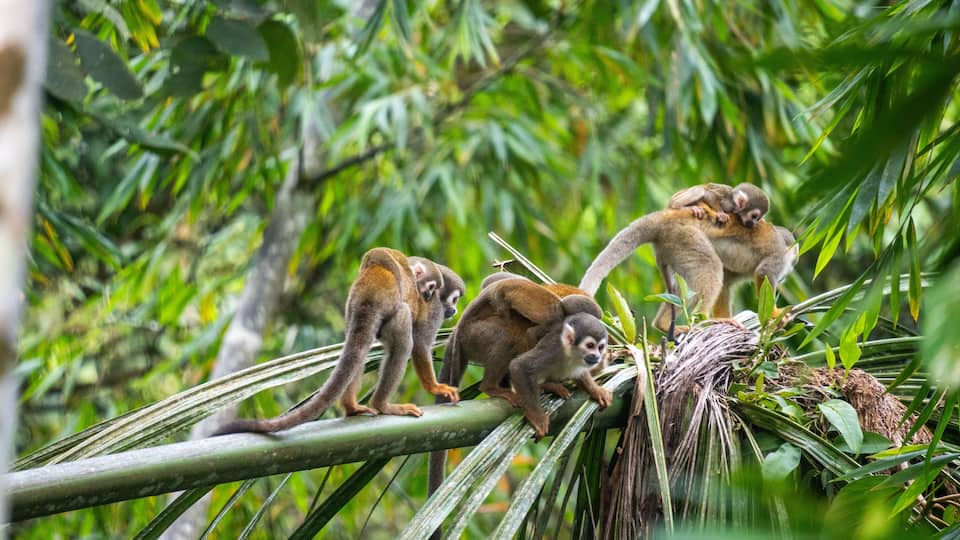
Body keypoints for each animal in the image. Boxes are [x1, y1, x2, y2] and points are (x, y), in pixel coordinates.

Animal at [212, 248, 464, 436]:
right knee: (402, 341)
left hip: (351, 310)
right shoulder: (435, 310)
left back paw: (352, 407)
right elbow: (420, 344)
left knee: (358, 350)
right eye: (452, 299)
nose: (453, 310)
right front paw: (435, 386)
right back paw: (382, 405)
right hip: (391, 308)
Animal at [578, 208, 797, 334]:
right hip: (685, 236)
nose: (787, 276)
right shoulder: (778, 256)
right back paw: (704, 319)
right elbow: (763, 273)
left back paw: (664, 324)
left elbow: (726, 282)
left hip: (672, 244)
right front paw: (774, 314)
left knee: (681, 285)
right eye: (792, 263)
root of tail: (667, 216)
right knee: (711, 267)